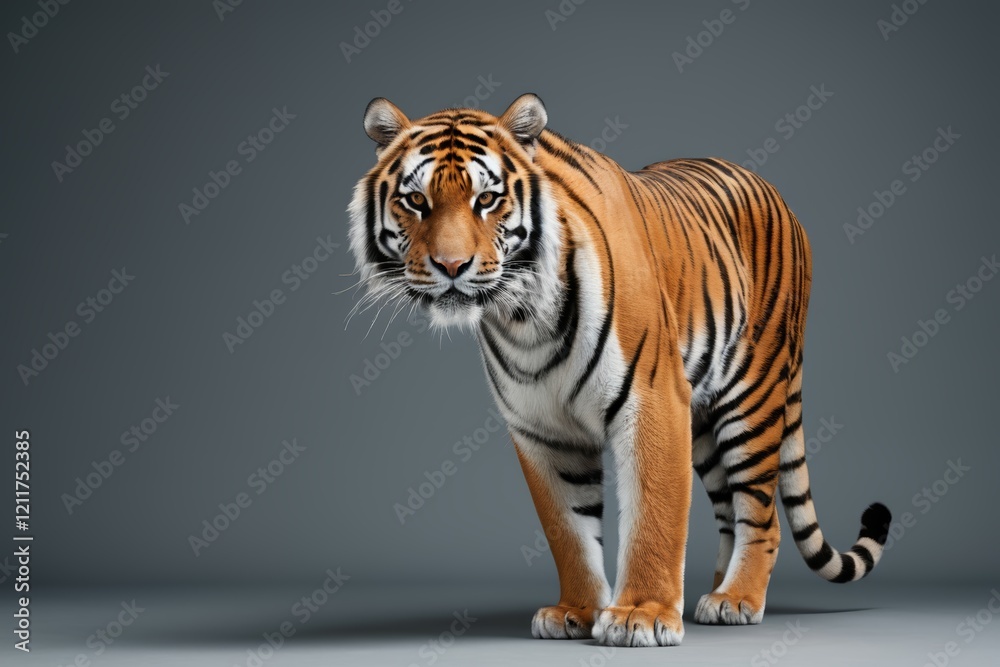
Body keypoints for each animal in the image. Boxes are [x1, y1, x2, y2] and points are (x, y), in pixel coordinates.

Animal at [347, 93, 891, 647]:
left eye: (487, 199)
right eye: (416, 201)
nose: (451, 266)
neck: (524, 318)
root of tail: (777, 195)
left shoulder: (652, 402)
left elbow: (654, 514)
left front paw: (642, 615)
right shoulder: (542, 430)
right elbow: (568, 530)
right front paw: (576, 611)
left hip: (752, 396)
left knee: (760, 512)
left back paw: (738, 598)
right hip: (702, 418)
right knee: (727, 510)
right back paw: (714, 593)